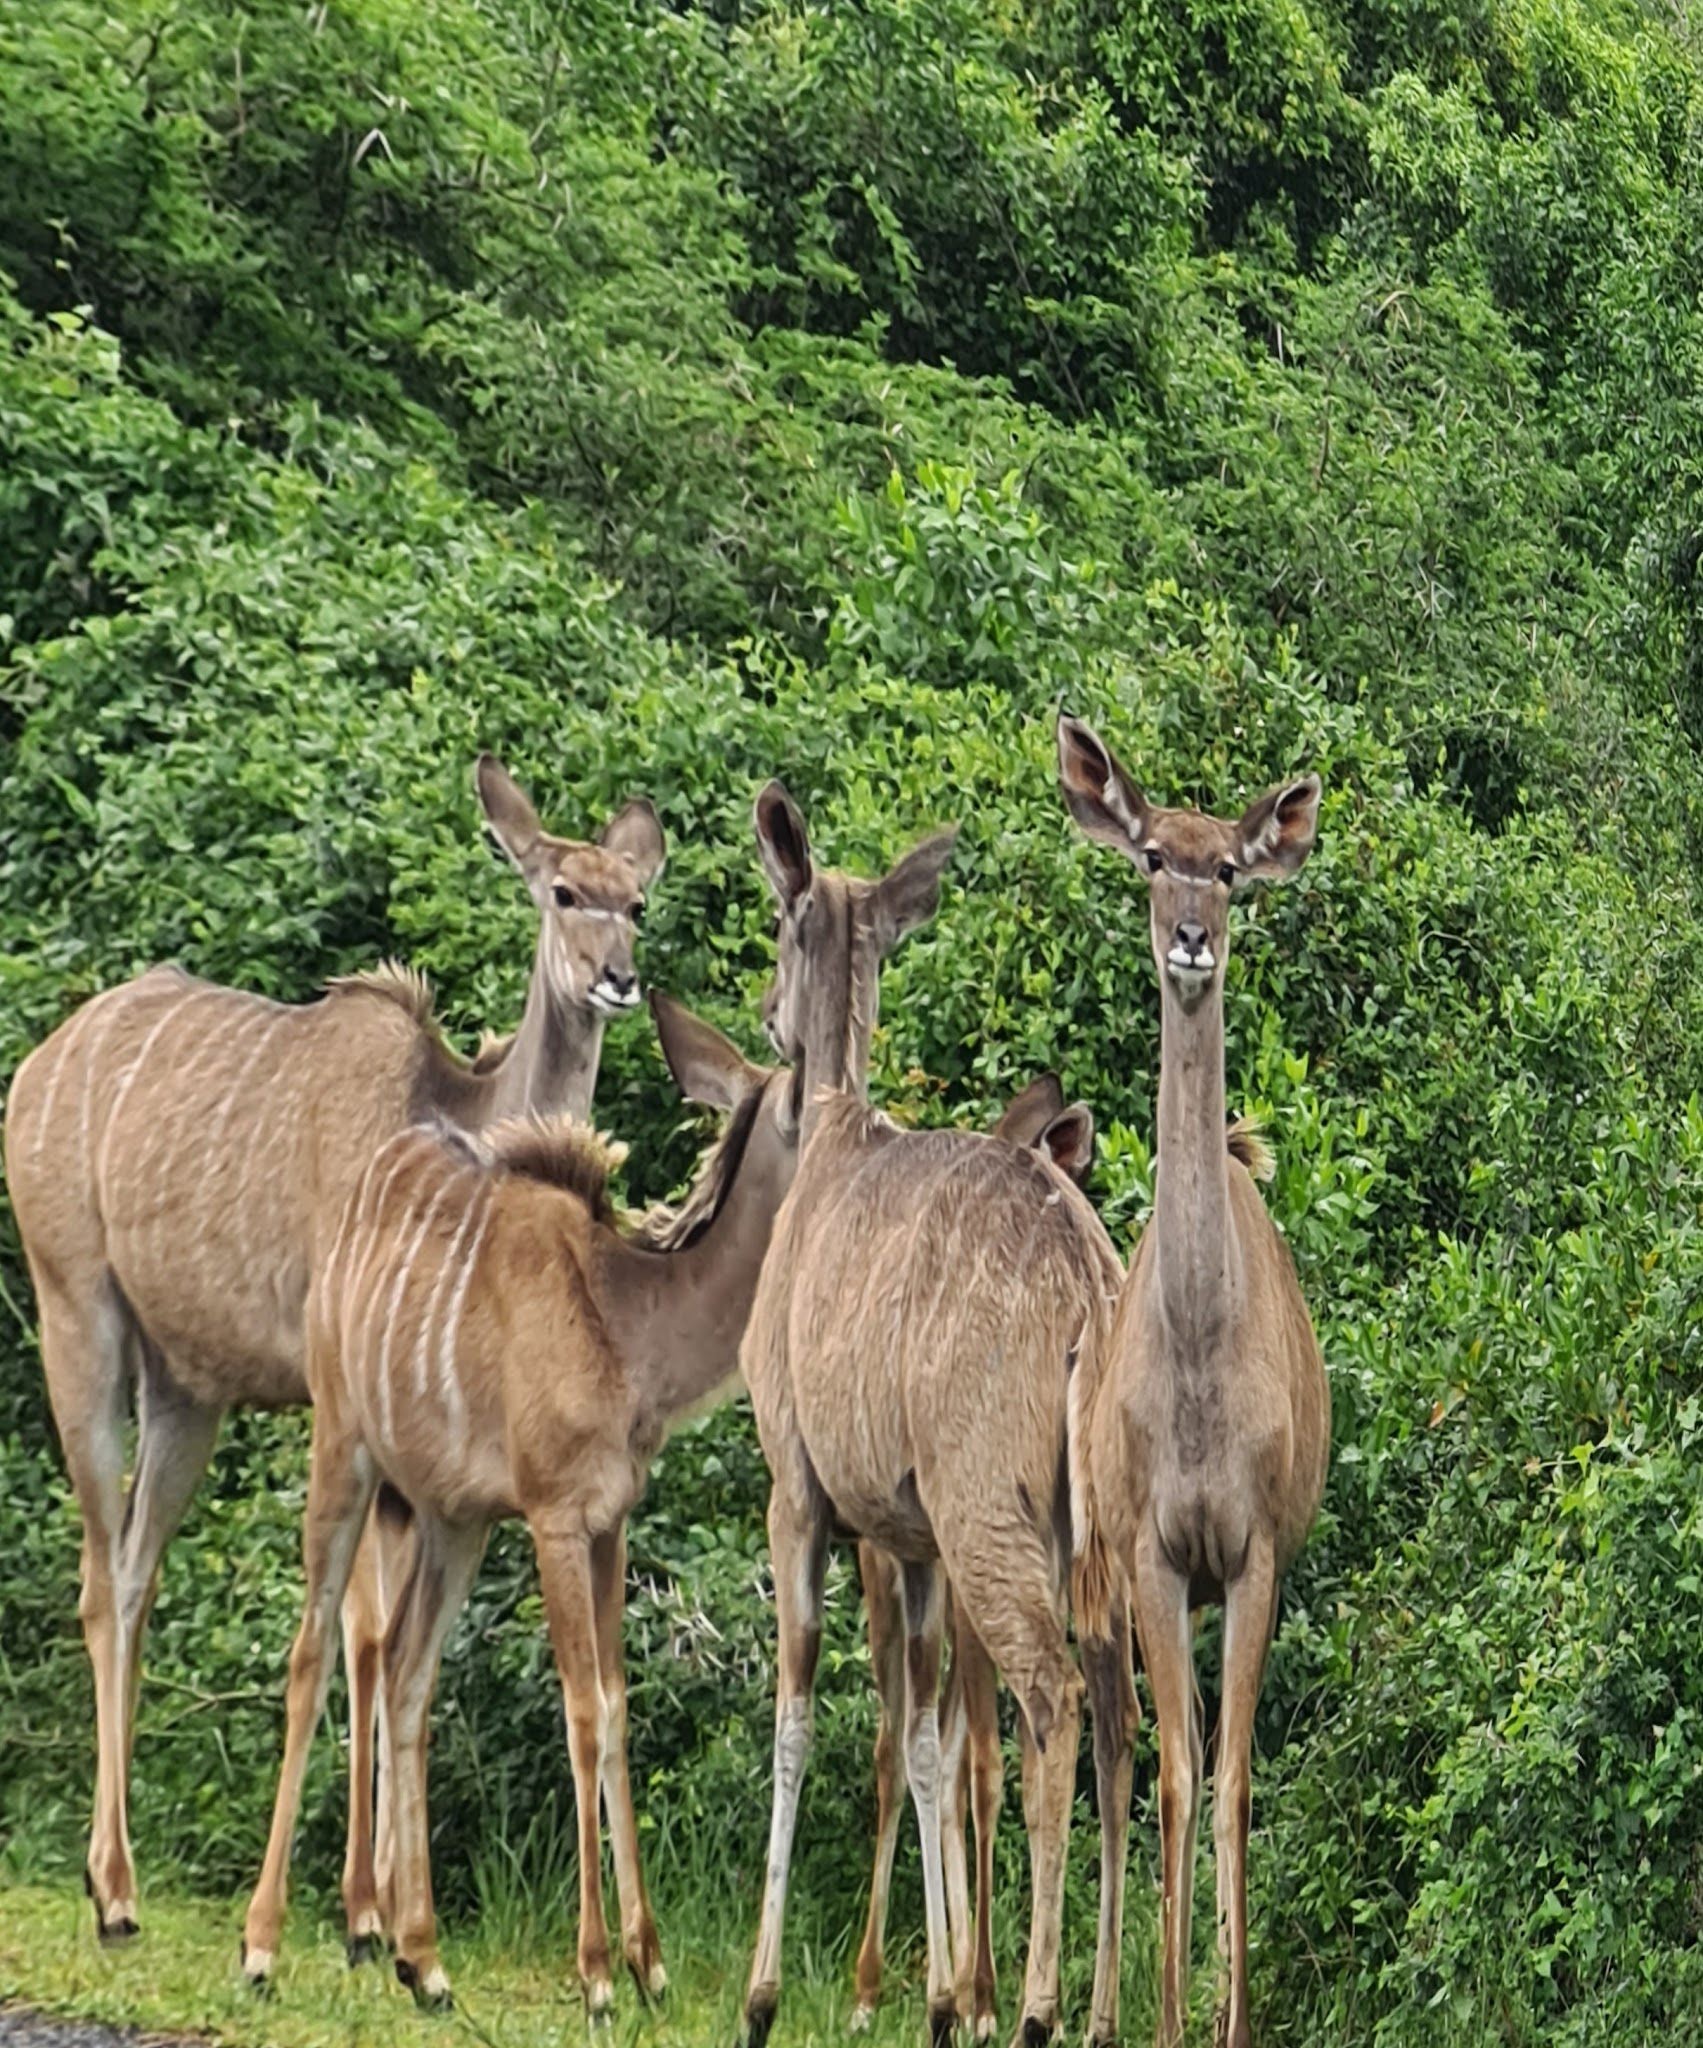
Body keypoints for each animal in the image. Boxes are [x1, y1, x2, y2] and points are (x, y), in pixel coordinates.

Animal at [1, 761, 659, 1941]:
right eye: (560, 892)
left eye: (636, 900)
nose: (619, 979)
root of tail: (36, 1066)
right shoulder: (347, 1395)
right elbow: (366, 1627)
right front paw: (369, 1911)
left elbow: (384, 1633)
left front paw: (377, 1909)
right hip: (77, 1313)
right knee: (98, 1575)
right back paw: (114, 1888)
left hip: (187, 1388)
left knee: (135, 1567)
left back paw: (114, 1875)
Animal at [234, 995, 798, 2015]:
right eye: (804, 1103)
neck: (629, 1327)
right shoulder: (553, 1515)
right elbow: (579, 1710)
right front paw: (597, 1974)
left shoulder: (610, 1521)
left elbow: (616, 1705)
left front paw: (650, 1965)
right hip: (344, 1448)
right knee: (314, 1657)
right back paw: (262, 1949)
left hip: (451, 1520)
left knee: (407, 1670)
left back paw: (424, 1962)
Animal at [732, 790, 1129, 2048]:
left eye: (781, 918)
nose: (770, 1017)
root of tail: (1088, 1297)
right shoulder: (904, 1539)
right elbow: (919, 1738)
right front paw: (942, 1997)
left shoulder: (798, 1486)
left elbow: (798, 1713)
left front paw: (763, 1993)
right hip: (1094, 1534)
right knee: (1123, 1716)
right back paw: (1089, 2011)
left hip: (989, 1508)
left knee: (1053, 1698)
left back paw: (1041, 2006)